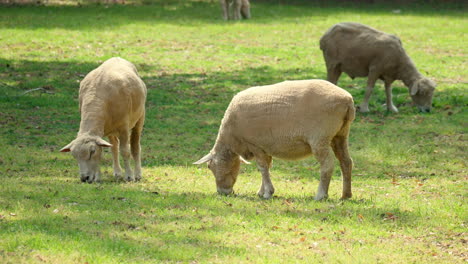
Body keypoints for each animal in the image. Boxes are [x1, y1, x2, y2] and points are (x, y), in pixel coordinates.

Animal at [194, 79, 354, 200]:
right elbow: (268, 167)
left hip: (320, 138)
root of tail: (347, 100)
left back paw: (321, 195)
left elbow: (262, 168)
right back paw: (346, 195)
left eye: (209, 167)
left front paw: (267, 193)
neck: (232, 139)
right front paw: (262, 191)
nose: (222, 192)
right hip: (340, 135)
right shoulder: (265, 147)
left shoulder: (255, 145)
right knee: (346, 162)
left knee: (327, 164)